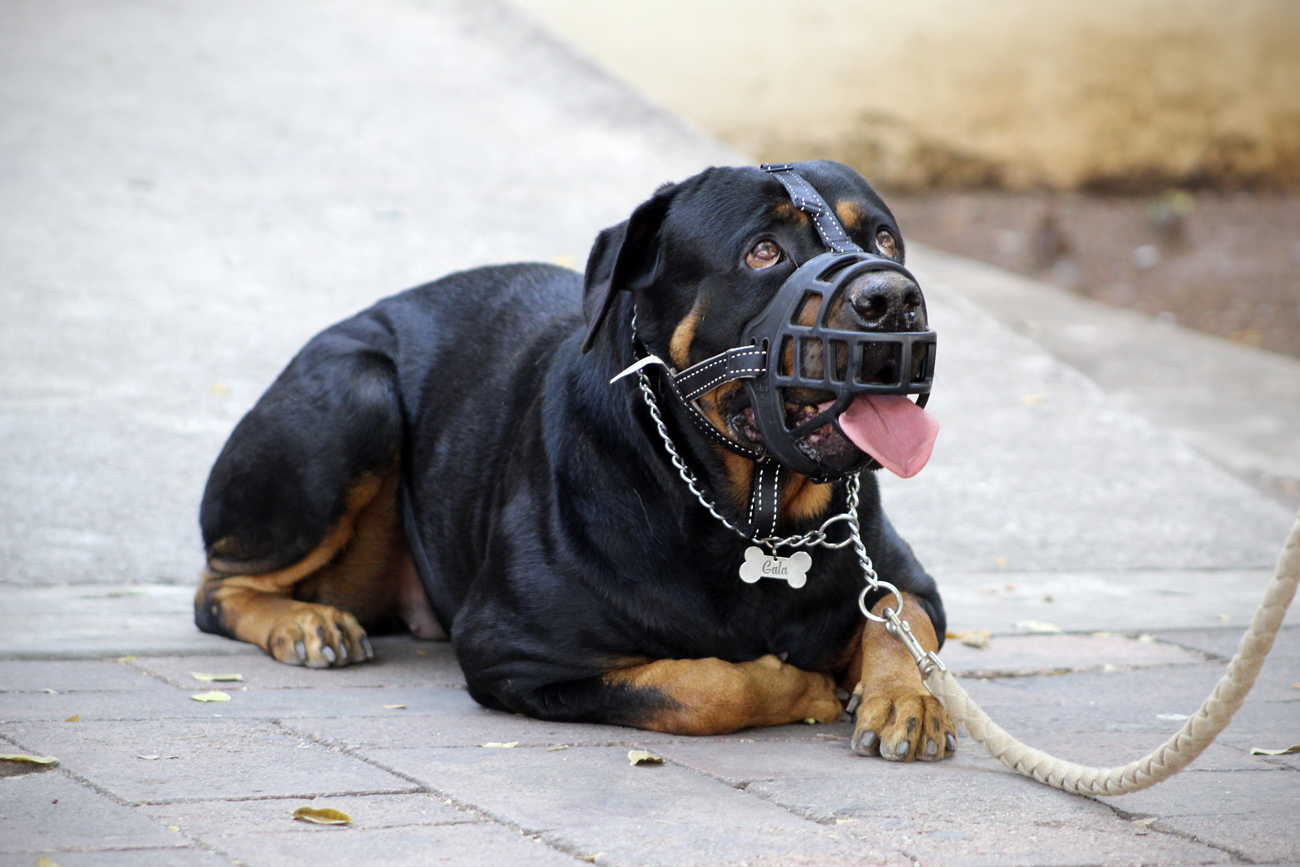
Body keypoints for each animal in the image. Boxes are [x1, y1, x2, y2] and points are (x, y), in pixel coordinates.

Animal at [197, 161, 961, 759]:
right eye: (764, 251)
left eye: (885, 238)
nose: (892, 297)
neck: (753, 511)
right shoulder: (514, 649)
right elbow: (705, 683)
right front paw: (799, 684)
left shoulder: (908, 581)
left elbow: (899, 619)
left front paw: (908, 696)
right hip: (357, 396)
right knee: (217, 588)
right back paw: (303, 623)